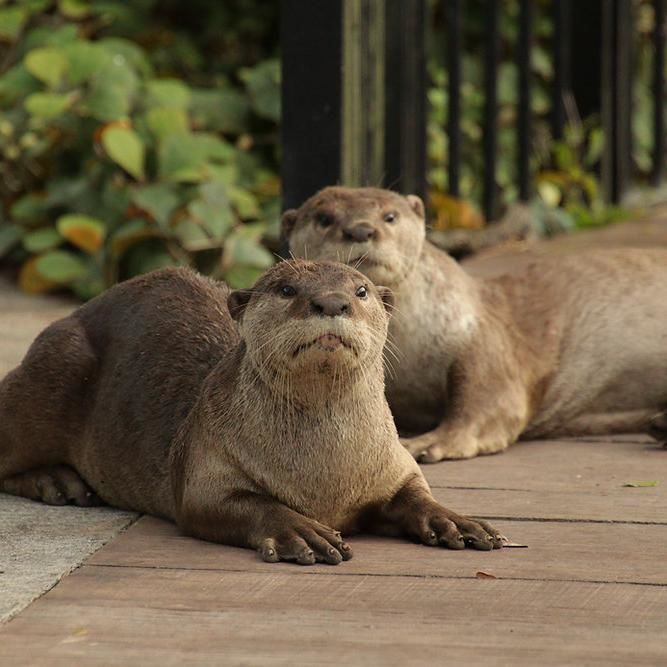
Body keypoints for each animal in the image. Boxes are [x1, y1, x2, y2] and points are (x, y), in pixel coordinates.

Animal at [0, 260, 506, 564]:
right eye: (286, 288)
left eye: (361, 290)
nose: (332, 302)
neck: (325, 475)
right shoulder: (205, 460)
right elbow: (236, 503)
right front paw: (301, 531)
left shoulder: (392, 463)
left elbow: (416, 493)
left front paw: (455, 520)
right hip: (57, 366)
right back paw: (56, 482)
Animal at [282, 185, 667, 462]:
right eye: (324, 218)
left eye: (390, 216)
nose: (361, 230)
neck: (408, 356)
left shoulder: (484, 337)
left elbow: (489, 397)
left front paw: (431, 442)